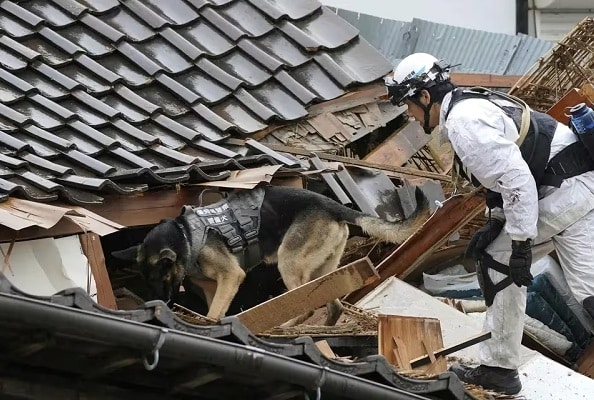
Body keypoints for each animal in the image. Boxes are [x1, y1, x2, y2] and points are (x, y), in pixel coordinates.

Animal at [112, 185, 427, 326]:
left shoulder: (231, 276)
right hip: (325, 269)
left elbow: (215, 312)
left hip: (289, 263)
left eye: (162, 277)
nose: (162, 301)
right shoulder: (214, 286)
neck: (185, 235)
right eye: (147, 281)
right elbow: (215, 307)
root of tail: (331, 205)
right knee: (332, 304)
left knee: (305, 303)